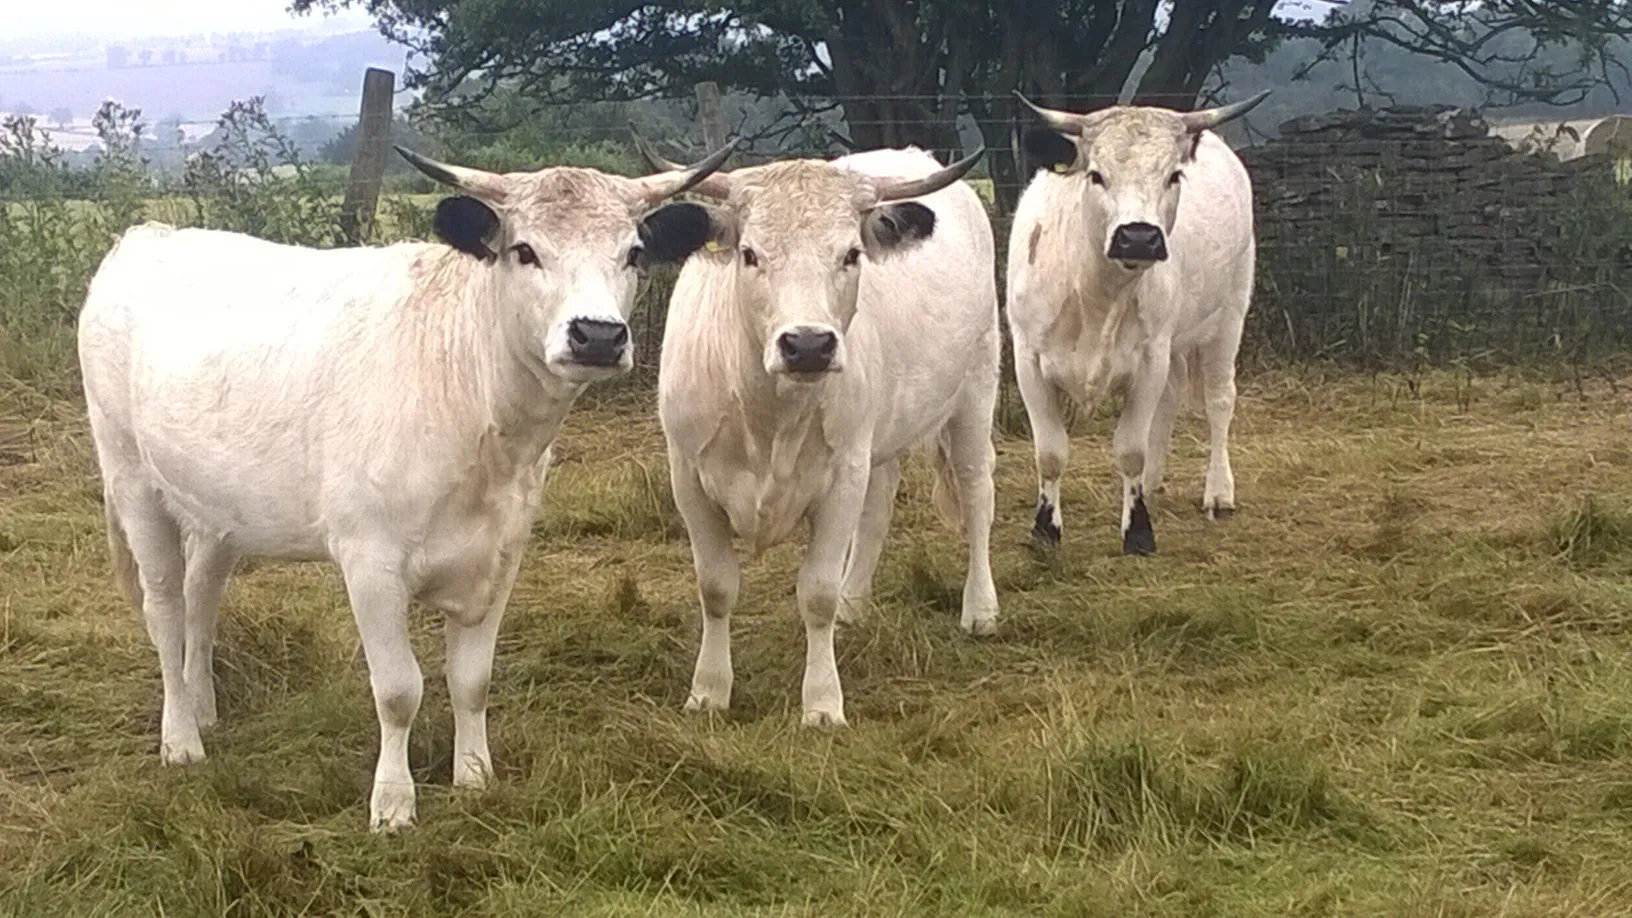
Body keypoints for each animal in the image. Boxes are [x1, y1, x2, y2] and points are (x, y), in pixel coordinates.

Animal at [75, 141, 734, 830]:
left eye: (632, 253)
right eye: (525, 250)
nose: (598, 335)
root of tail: (147, 236)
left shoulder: (501, 555)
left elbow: (472, 680)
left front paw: (475, 776)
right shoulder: (370, 561)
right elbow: (398, 691)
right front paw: (393, 803)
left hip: (216, 508)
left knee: (201, 597)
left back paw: (203, 709)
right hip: (132, 481)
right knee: (164, 608)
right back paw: (181, 740)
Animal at [633, 138, 1000, 727]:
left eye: (851, 255)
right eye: (750, 254)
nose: (808, 344)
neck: (770, 418)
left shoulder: (841, 476)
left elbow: (817, 593)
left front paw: (823, 702)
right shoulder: (688, 476)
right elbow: (716, 587)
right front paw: (709, 691)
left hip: (975, 385)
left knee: (976, 488)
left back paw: (980, 608)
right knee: (881, 505)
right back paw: (857, 602)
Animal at [1004, 90, 1270, 556]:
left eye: (1173, 176)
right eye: (1096, 174)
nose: (1139, 237)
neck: (1095, 292)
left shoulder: (1149, 358)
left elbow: (1131, 449)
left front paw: (1139, 531)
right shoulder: (1028, 359)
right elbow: (1050, 453)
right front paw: (1045, 531)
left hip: (1228, 317)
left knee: (1220, 400)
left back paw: (1219, 491)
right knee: (1171, 398)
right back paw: (1154, 481)